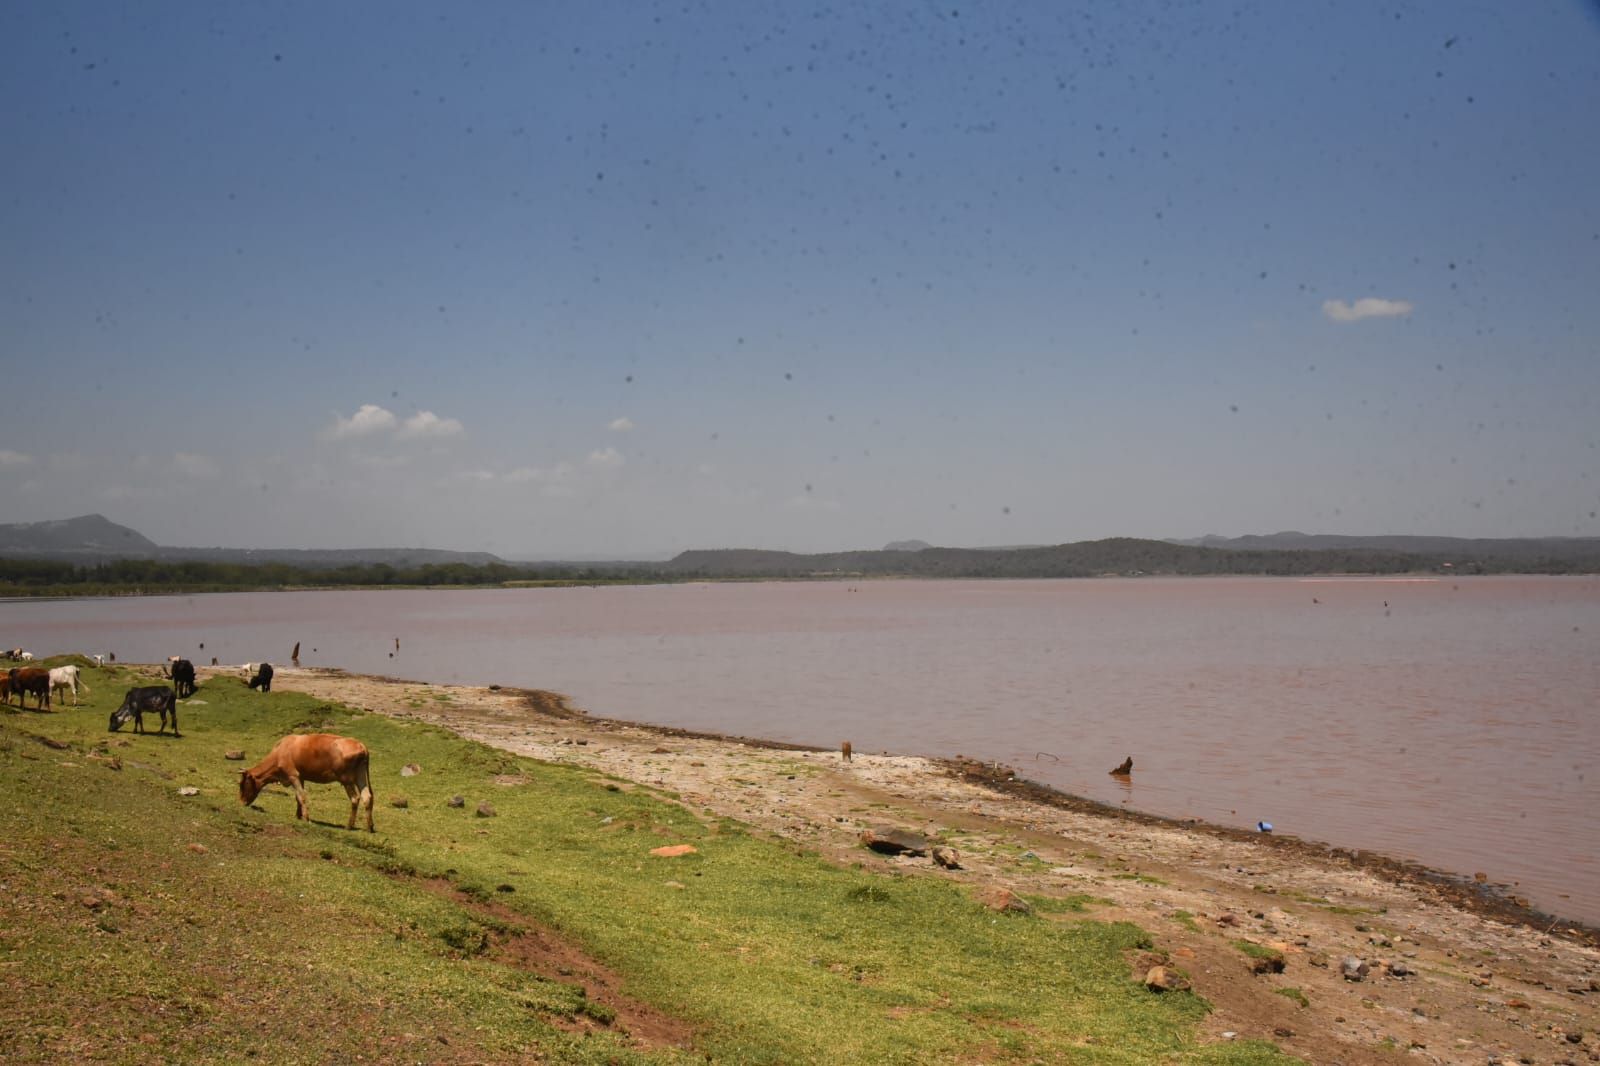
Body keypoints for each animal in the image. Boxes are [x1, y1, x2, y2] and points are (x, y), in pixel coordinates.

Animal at [240, 729, 374, 832]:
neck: (280, 752)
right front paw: (298, 815)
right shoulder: (301, 777)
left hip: (346, 779)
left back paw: (349, 826)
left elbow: (302, 796)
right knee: (367, 797)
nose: (241, 802)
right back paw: (369, 828)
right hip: (360, 775)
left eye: (242, 784)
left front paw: (305, 818)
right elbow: (298, 797)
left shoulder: (293, 775)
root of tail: (361, 745)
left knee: (355, 798)